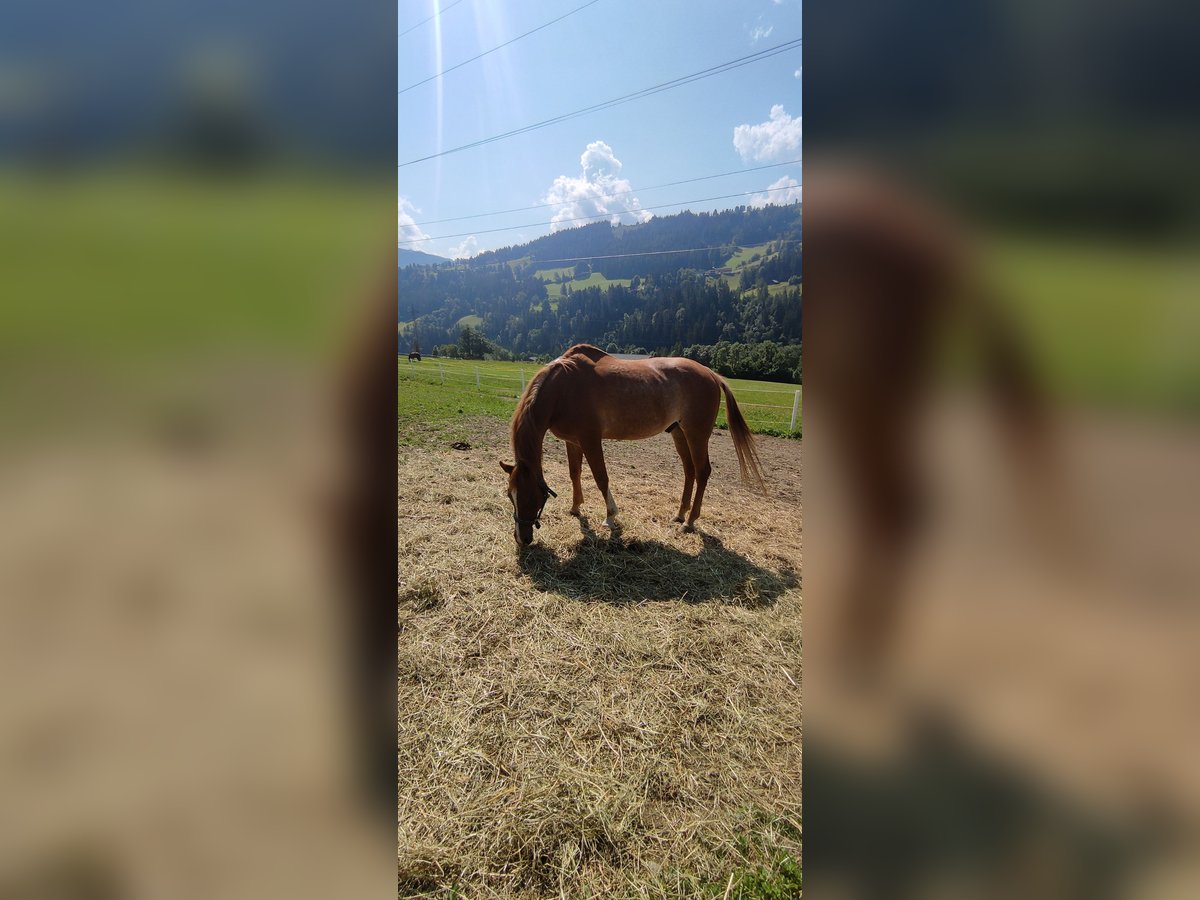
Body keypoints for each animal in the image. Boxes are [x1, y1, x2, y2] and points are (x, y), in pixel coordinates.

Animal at [499, 343, 763, 542]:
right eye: (510, 495)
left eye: (530, 496)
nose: (522, 538)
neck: (563, 388)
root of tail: (712, 374)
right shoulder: (572, 442)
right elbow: (575, 474)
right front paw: (575, 508)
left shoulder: (590, 440)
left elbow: (601, 477)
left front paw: (610, 516)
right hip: (679, 433)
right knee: (689, 471)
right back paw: (680, 514)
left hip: (696, 434)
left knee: (702, 471)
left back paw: (689, 522)